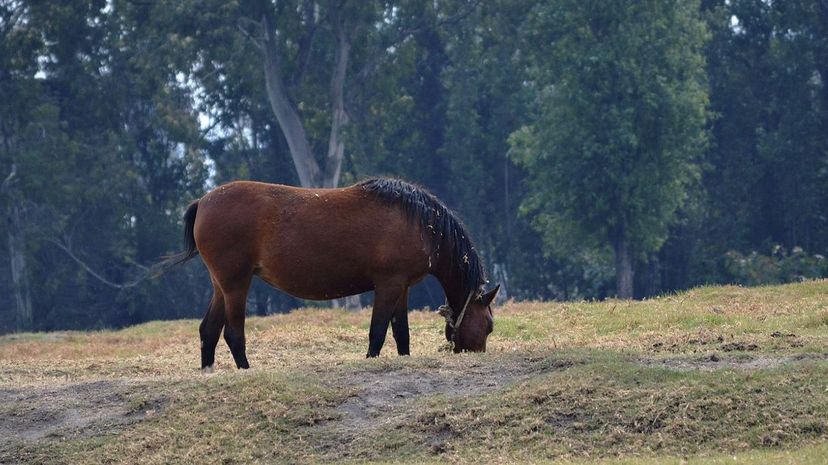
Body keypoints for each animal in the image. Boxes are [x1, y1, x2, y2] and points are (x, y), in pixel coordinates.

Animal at [174, 176, 498, 368]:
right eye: (490, 326)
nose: (477, 354)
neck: (421, 224)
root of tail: (203, 202)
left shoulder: (403, 287)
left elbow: (401, 333)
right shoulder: (389, 284)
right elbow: (378, 332)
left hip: (221, 286)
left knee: (208, 331)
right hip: (236, 285)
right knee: (232, 334)